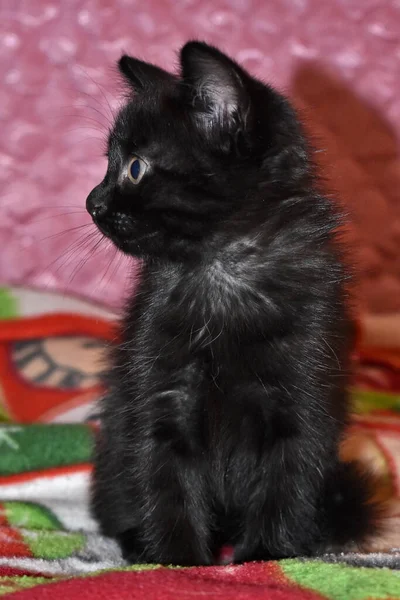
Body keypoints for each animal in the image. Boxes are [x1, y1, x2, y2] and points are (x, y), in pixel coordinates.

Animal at [86, 39, 378, 564]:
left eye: (135, 168)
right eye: (109, 162)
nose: (92, 202)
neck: (220, 268)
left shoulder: (303, 393)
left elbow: (286, 480)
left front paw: (265, 556)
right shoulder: (161, 390)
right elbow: (165, 477)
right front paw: (178, 562)